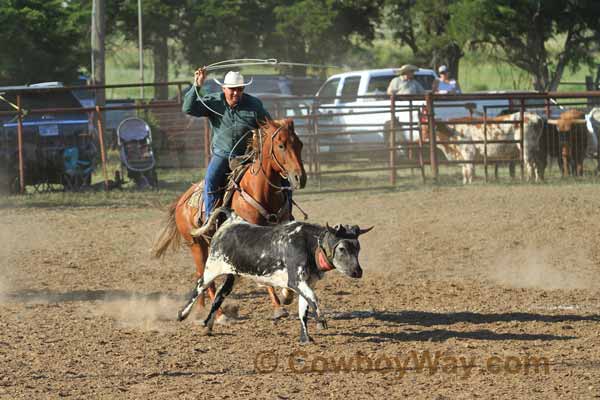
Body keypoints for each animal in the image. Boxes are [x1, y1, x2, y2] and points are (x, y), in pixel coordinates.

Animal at [152, 118, 308, 322]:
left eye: (300, 144)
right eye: (281, 145)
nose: (300, 177)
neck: (260, 191)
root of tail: (181, 201)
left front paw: (287, 295)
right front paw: (278, 307)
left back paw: (201, 309)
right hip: (196, 244)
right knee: (205, 278)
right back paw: (219, 315)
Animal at [176, 208, 372, 342]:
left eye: (358, 247)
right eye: (342, 248)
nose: (358, 271)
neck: (310, 244)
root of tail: (231, 220)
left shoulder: (307, 282)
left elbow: (304, 308)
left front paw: (305, 338)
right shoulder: (296, 281)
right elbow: (313, 299)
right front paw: (321, 321)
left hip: (233, 275)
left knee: (218, 296)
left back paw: (208, 326)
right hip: (212, 268)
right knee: (199, 287)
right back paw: (182, 314)